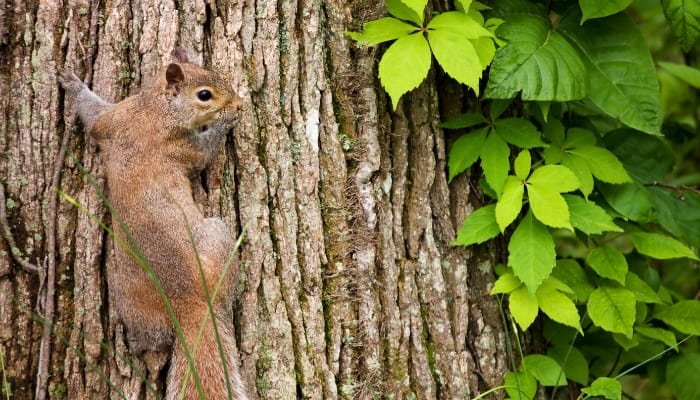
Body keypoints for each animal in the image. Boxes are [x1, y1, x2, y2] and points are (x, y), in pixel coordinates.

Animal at [59, 47, 249, 400]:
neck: (155, 108)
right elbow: (205, 153)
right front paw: (225, 123)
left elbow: (94, 119)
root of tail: (192, 303)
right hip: (216, 238)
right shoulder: (182, 145)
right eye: (204, 95)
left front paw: (73, 85)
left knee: (155, 337)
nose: (239, 105)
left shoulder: (116, 119)